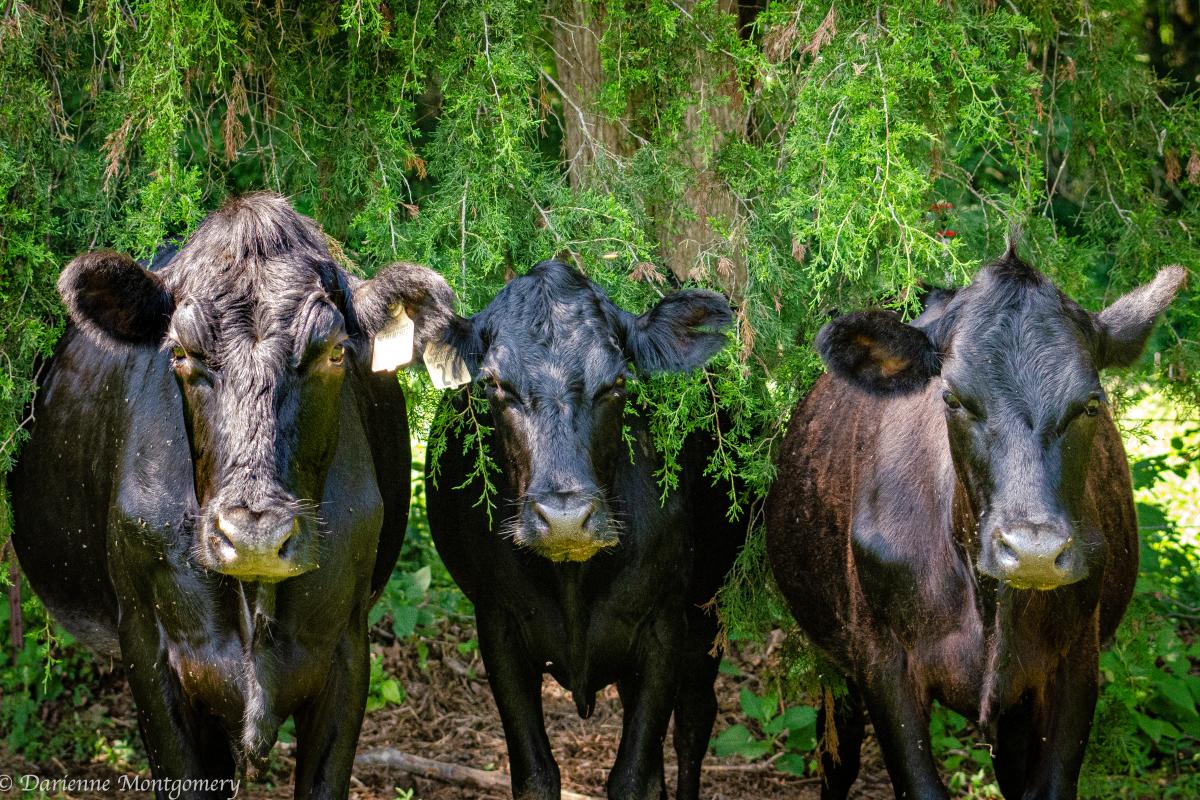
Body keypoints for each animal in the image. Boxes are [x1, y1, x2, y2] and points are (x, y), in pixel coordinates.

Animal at [424, 259, 746, 800]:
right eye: (495, 384)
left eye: (616, 382)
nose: (565, 520)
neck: (573, 583)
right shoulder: (497, 623)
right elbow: (536, 774)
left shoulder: (664, 624)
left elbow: (633, 777)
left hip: (711, 601)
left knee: (694, 721)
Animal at [765, 245, 1186, 800]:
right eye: (952, 398)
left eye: (1092, 404)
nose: (1033, 553)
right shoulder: (882, 661)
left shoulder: (1076, 661)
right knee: (837, 752)